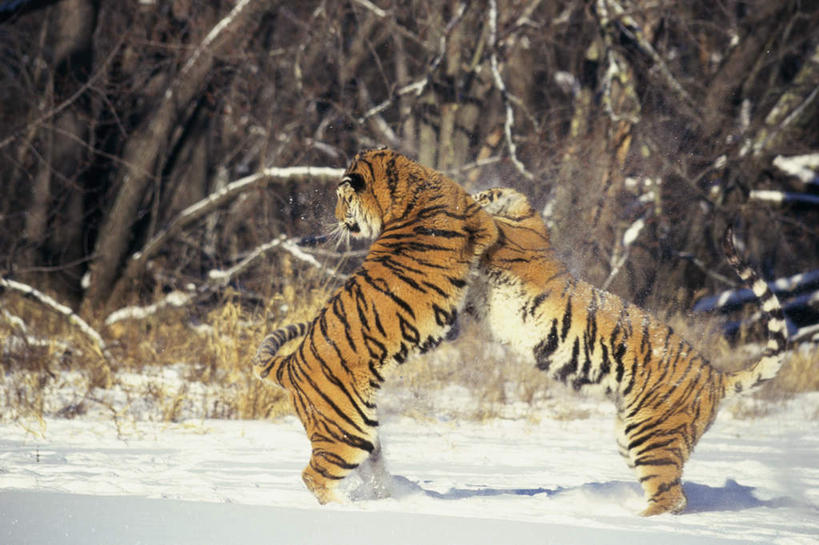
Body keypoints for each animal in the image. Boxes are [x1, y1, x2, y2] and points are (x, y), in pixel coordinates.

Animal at [251, 148, 500, 502]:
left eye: (341, 199)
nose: (337, 219)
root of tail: (289, 363)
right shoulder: (479, 226)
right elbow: (489, 216)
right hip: (346, 433)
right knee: (313, 475)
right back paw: (348, 506)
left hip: (364, 431)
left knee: (367, 466)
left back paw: (389, 495)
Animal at [464, 187, 792, 516]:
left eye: (480, 195)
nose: (476, 194)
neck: (530, 222)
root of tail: (715, 375)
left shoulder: (510, 246)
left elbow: (492, 224)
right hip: (630, 436)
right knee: (673, 493)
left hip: (651, 436)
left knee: (670, 496)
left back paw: (633, 520)